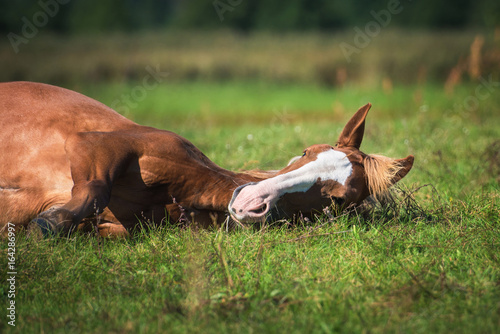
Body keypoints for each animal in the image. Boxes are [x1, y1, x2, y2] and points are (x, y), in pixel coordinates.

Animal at [0, 82, 414, 236]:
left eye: (339, 200)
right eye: (306, 152)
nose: (250, 201)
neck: (179, 191)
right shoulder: (95, 145)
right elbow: (95, 189)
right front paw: (51, 222)